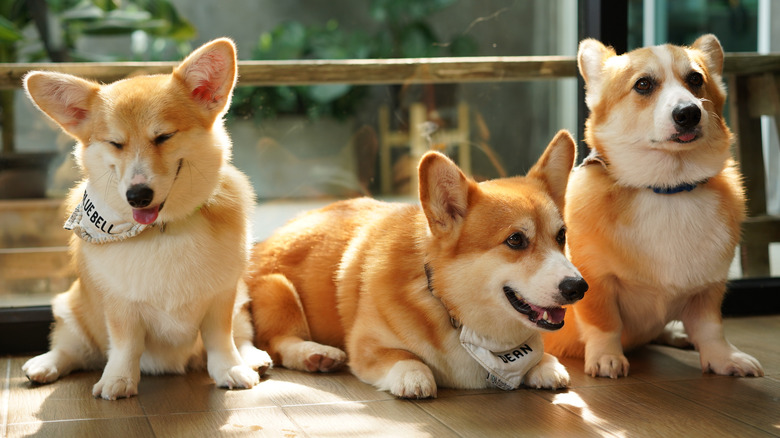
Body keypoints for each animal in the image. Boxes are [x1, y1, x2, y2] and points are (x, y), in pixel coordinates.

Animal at [22, 39, 272, 398]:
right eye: (115, 143)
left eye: (163, 137)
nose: (137, 196)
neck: (162, 229)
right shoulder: (120, 306)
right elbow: (126, 346)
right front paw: (118, 381)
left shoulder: (222, 297)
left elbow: (221, 339)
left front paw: (230, 369)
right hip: (70, 309)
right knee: (72, 348)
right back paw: (43, 365)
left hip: (240, 303)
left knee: (242, 336)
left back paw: (253, 359)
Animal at [247, 130, 588, 396]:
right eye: (516, 240)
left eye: (561, 236)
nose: (578, 288)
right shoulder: (366, 345)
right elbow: (407, 360)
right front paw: (413, 377)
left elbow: (541, 356)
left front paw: (545, 365)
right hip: (279, 289)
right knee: (278, 341)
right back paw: (315, 354)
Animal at [544, 34, 760, 378]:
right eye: (643, 84)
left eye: (696, 79)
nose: (689, 113)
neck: (667, 189)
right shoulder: (596, 282)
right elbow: (605, 324)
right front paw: (607, 358)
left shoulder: (708, 288)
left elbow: (711, 329)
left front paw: (725, 359)